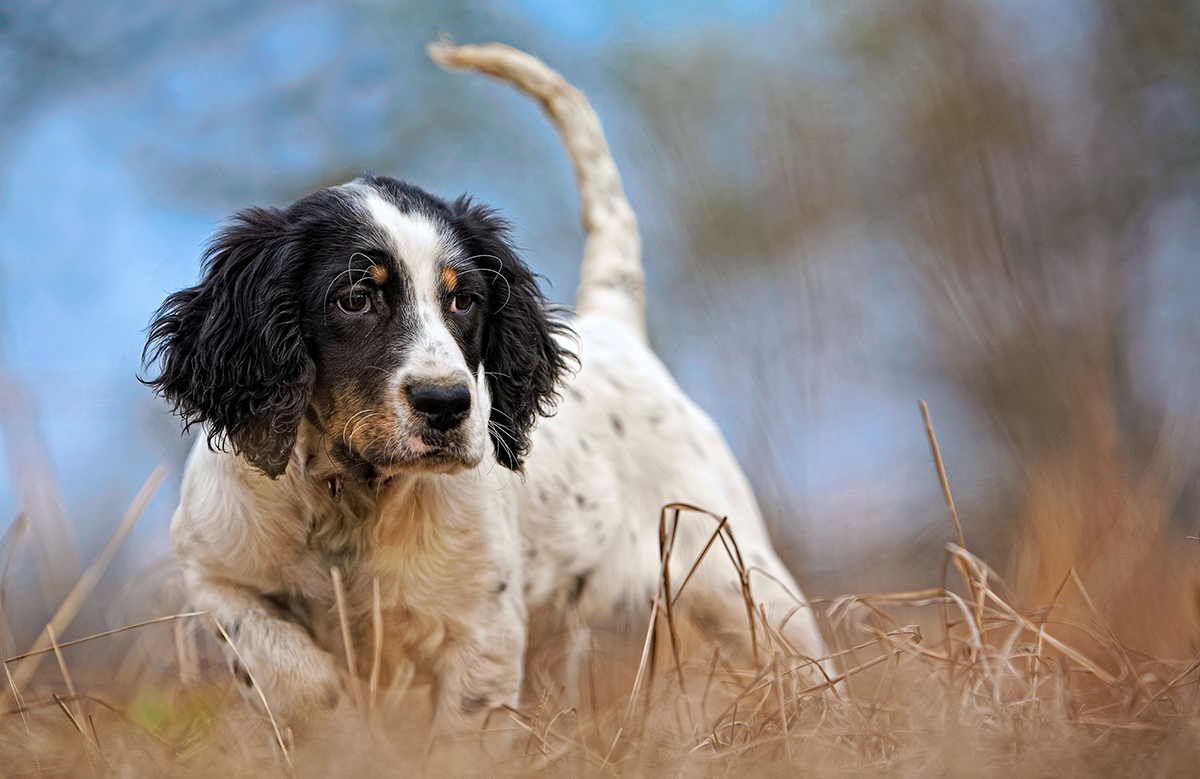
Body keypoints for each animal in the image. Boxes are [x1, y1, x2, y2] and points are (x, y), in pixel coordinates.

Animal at [142, 42, 835, 748]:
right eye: (355, 298)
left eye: (465, 300)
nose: (447, 404)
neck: (353, 496)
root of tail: (615, 326)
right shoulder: (214, 573)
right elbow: (285, 665)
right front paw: (341, 734)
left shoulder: (483, 625)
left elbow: (461, 734)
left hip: (735, 572)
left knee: (801, 662)